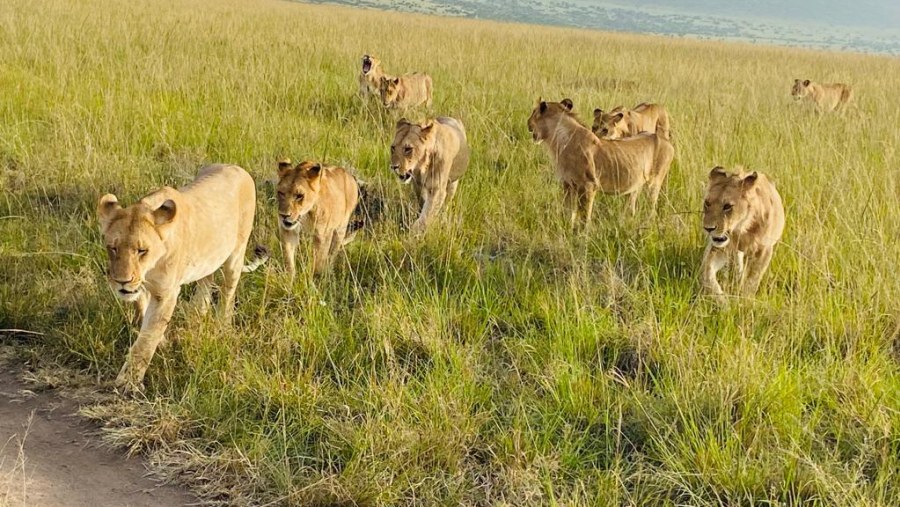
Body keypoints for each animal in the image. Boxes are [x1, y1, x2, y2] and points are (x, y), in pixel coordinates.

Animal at [100, 165, 258, 390]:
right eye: (113, 248)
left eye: (141, 250)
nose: (122, 281)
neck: (149, 269)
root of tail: (236, 167)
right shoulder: (142, 289)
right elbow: (146, 318)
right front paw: (164, 343)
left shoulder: (166, 293)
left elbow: (147, 337)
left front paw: (128, 382)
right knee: (206, 282)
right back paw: (196, 317)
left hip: (236, 254)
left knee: (228, 292)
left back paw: (223, 325)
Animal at [528, 98, 676, 229]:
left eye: (533, 112)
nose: (528, 124)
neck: (558, 139)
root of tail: (666, 141)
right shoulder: (568, 184)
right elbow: (569, 212)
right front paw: (567, 229)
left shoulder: (588, 185)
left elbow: (584, 216)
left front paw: (582, 235)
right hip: (635, 186)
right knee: (632, 208)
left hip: (653, 184)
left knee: (651, 209)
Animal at [700, 167, 784, 304]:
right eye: (707, 203)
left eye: (727, 206)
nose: (708, 228)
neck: (741, 229)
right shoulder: (719, 248)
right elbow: (707, 274)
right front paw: (723, 302)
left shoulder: (764, 250)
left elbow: (752, 280)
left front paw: (745, 302)